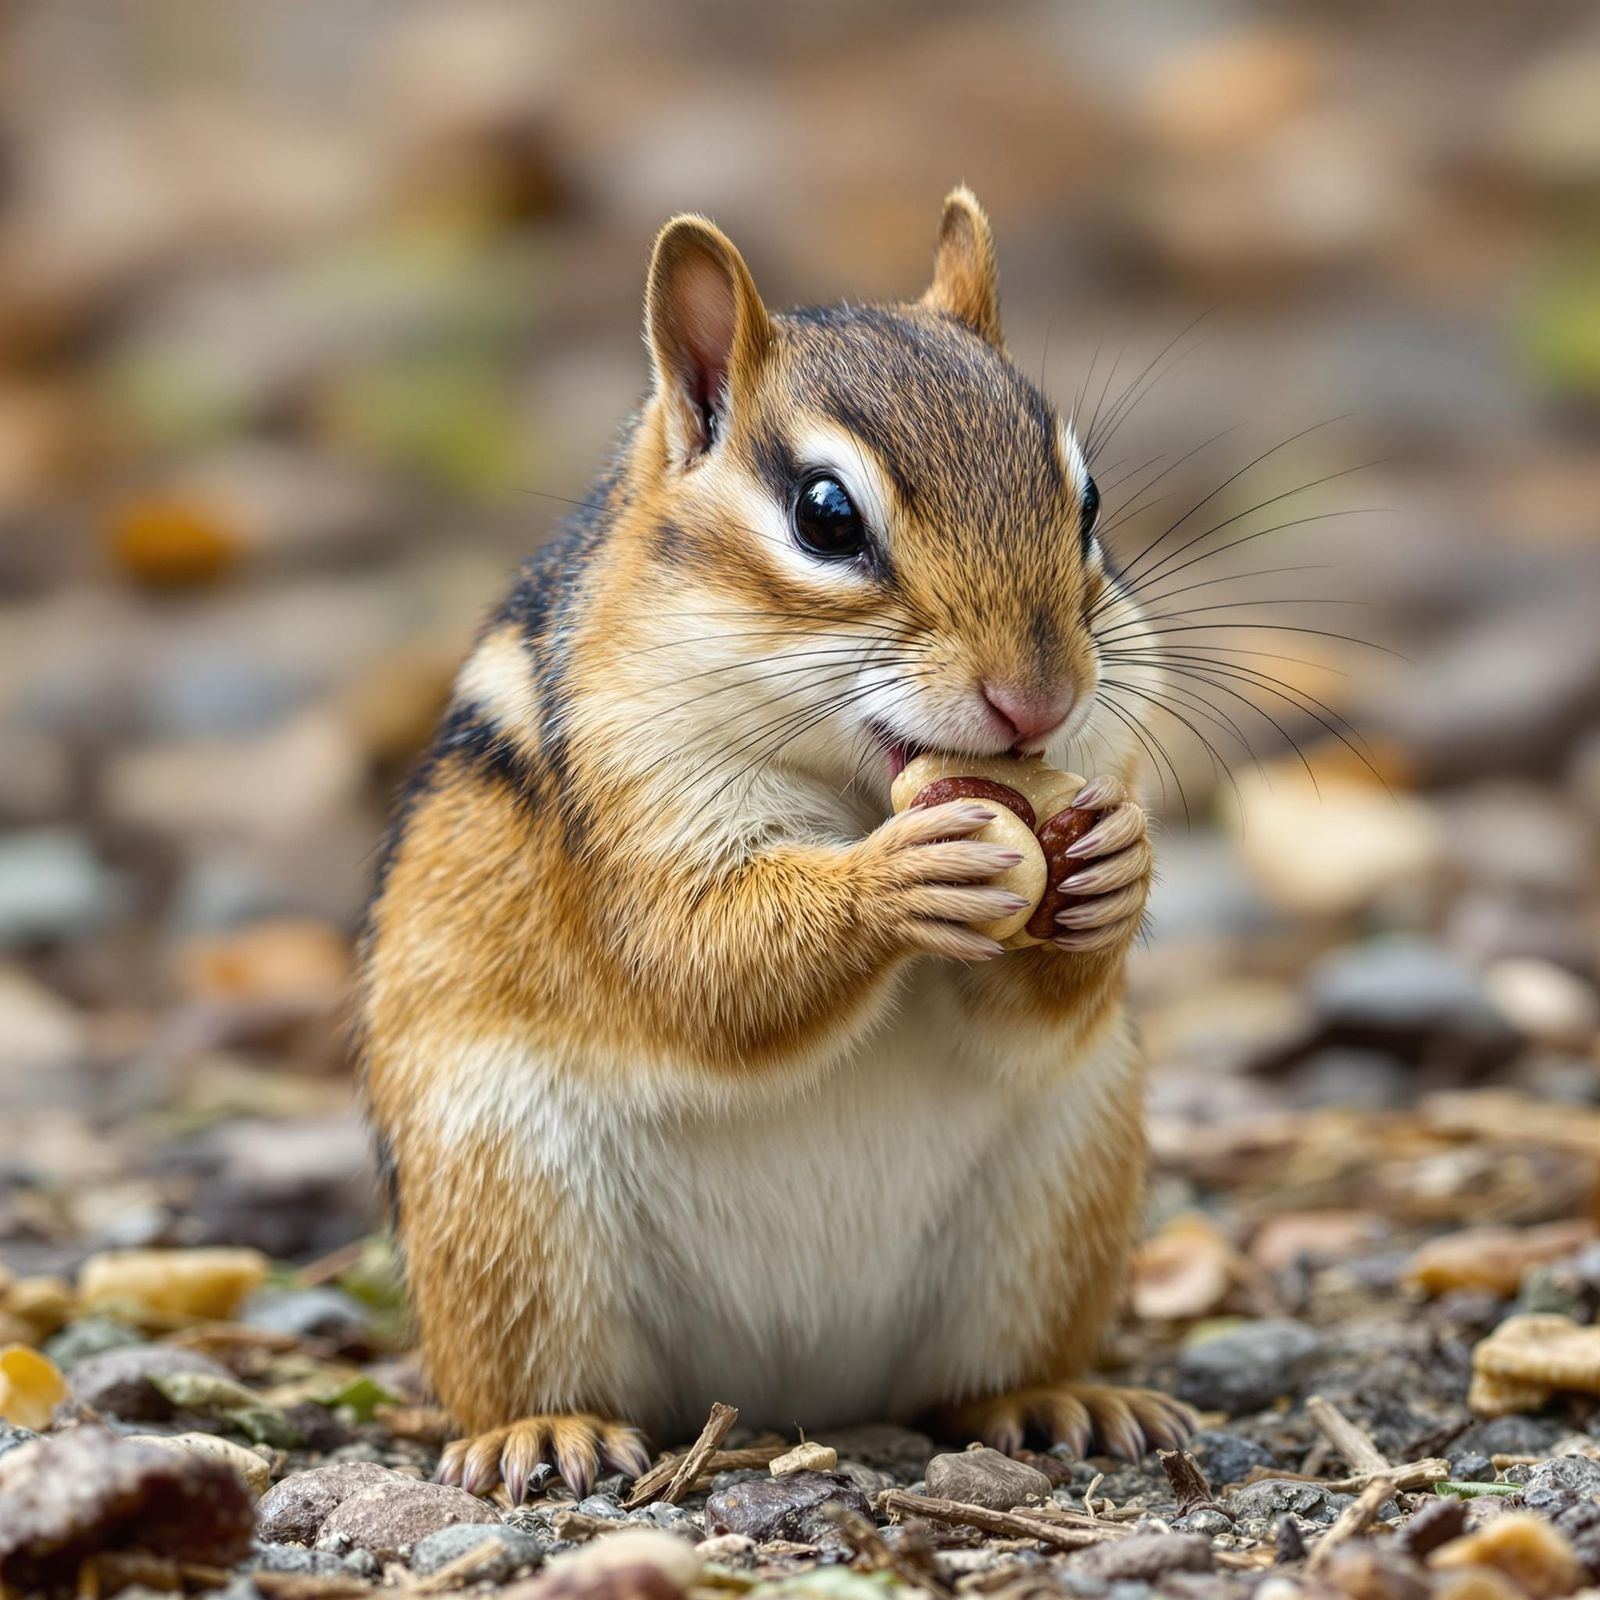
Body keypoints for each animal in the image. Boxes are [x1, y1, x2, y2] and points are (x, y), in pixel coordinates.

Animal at [361, 187, 1195, 1502]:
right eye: (825, 515)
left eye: (1091, 501)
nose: (1039, 698)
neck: (852, 790)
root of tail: (790, 1389)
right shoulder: (638, 802)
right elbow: (703, 965)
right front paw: (893, 883)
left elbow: (1028, 1006)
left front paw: (1117, 863)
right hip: (503, 1207)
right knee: (526, 1373)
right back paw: (541, 1430)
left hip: (1067, 1181)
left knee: (973, 1380)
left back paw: (1059, 1399)